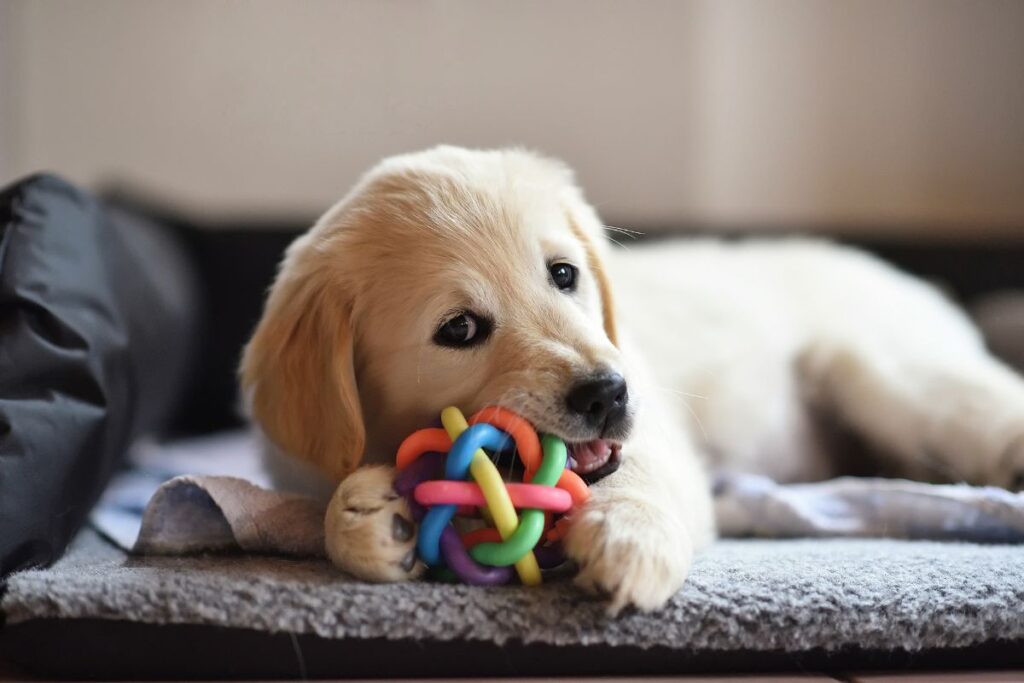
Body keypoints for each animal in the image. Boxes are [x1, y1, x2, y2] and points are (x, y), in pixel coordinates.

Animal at [241, 144, 1024, 614]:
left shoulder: (659, 433)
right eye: (458, 329)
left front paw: (628, 537)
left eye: (564, 274)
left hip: (878, 371)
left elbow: (636, 473)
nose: (607, 393)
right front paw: (368, 515)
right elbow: (326, 503)